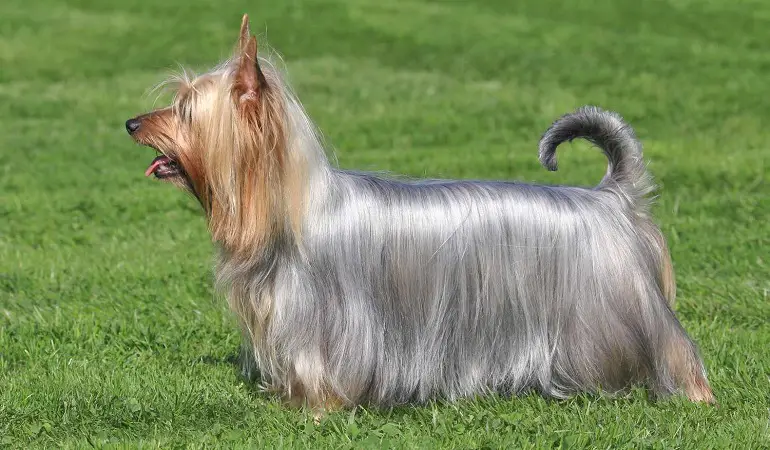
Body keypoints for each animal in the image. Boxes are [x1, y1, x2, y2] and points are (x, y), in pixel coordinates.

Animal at [123, 14, 712, 410]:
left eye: (185, 110)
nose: (131, 123)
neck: (290, 213)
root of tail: (610, 196)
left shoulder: (329, 323)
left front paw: (317, 409)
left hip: (618, 308)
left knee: (673, 349)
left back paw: (692, 393)